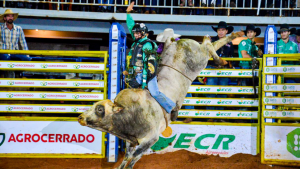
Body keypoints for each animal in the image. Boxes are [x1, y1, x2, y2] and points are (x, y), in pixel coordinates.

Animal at [78, 32, 244, 169]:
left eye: (100, 109)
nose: (80, 117)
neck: (128, 115)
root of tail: (176, 42)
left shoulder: (151, 138)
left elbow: (135, 156)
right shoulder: (132, 141)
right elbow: (128, 156)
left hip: (200, 58)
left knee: (209, 45)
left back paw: (221, 55)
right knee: (211, 44)